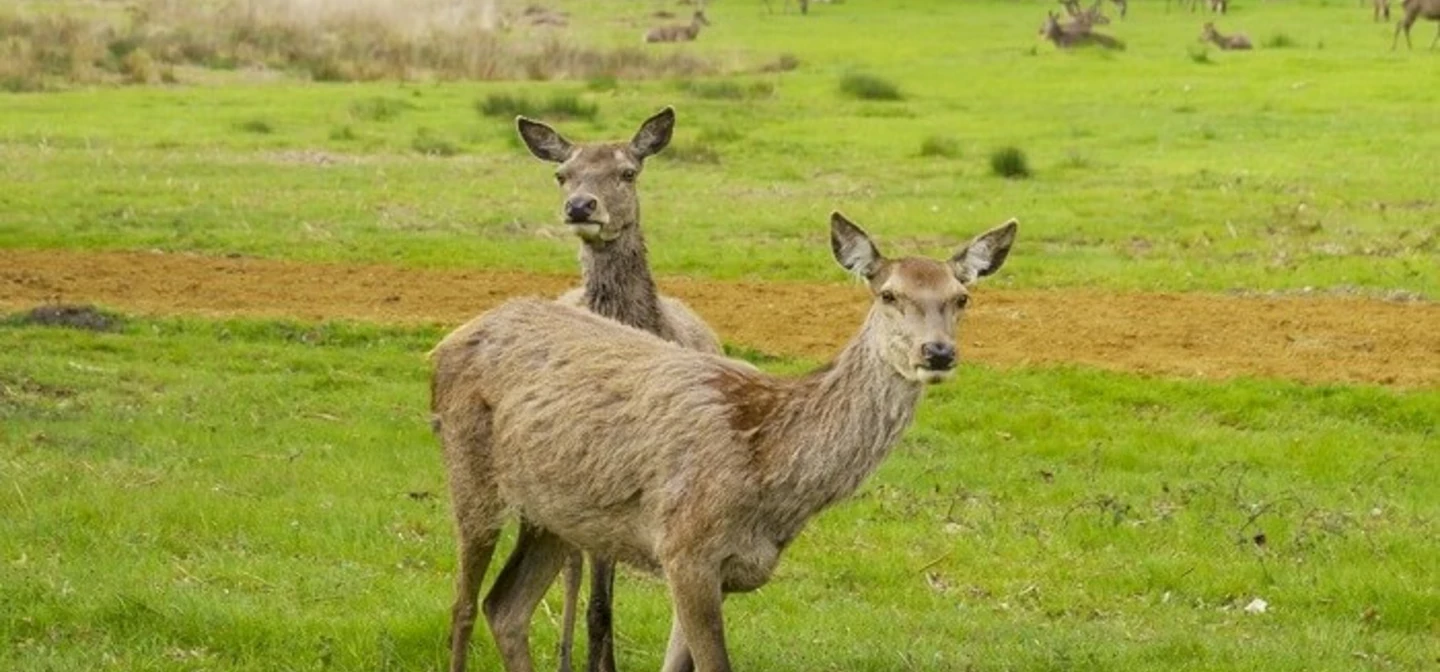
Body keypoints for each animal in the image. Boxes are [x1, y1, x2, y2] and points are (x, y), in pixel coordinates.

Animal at [432, 211, 1019, 672]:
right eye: (889, 294)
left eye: (961, 297)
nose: (937, 352)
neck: (768, 467)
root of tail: (445, 344)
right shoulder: (684, 547)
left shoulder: (726, 571)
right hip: (469, 471)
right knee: (463, 607)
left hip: (555, 515)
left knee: (506, 608)